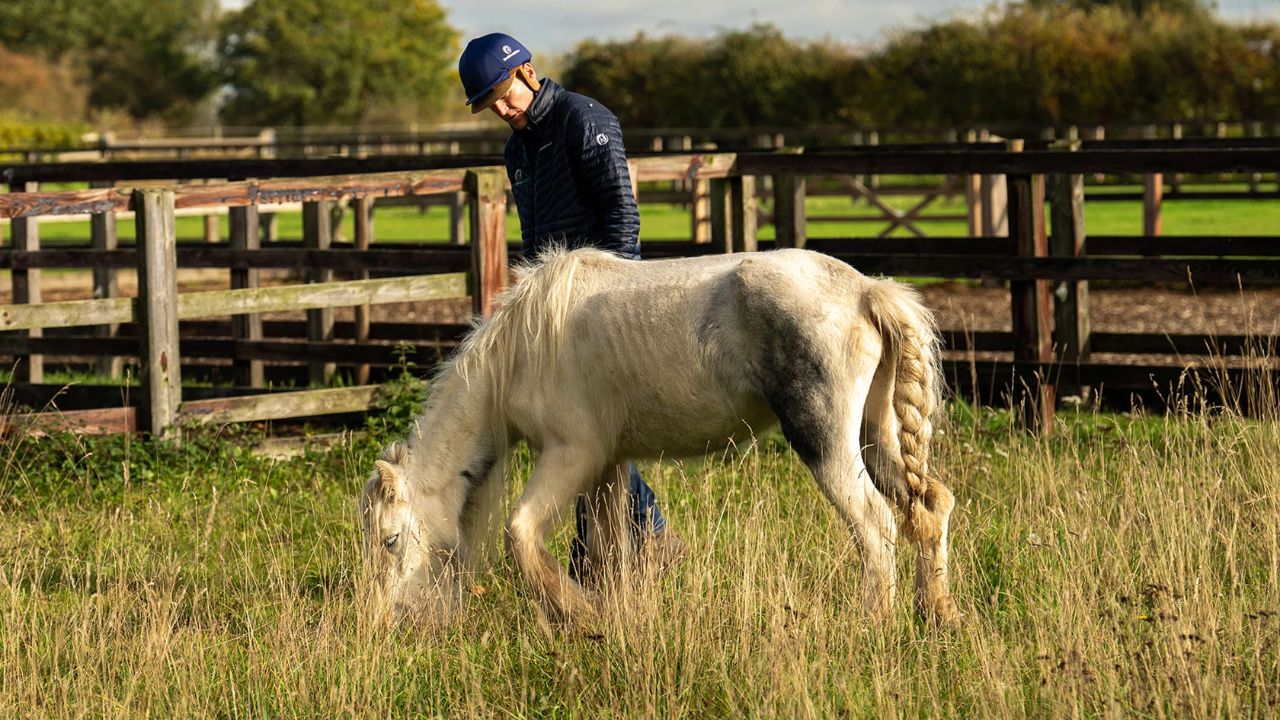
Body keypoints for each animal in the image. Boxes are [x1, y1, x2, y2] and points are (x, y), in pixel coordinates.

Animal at [359, 247, 959, 627]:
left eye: (390, 540)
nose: (390, 622)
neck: (520, 351)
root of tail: (864, 291)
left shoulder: (571, 455)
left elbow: (521, 533)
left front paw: (581, 617)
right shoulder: (604, 466)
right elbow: (608, 551)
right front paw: (616, 616)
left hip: (827, 443)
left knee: (875, 523)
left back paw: (874, 622)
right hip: (876, 437)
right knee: (929, 506)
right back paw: (937, 615)